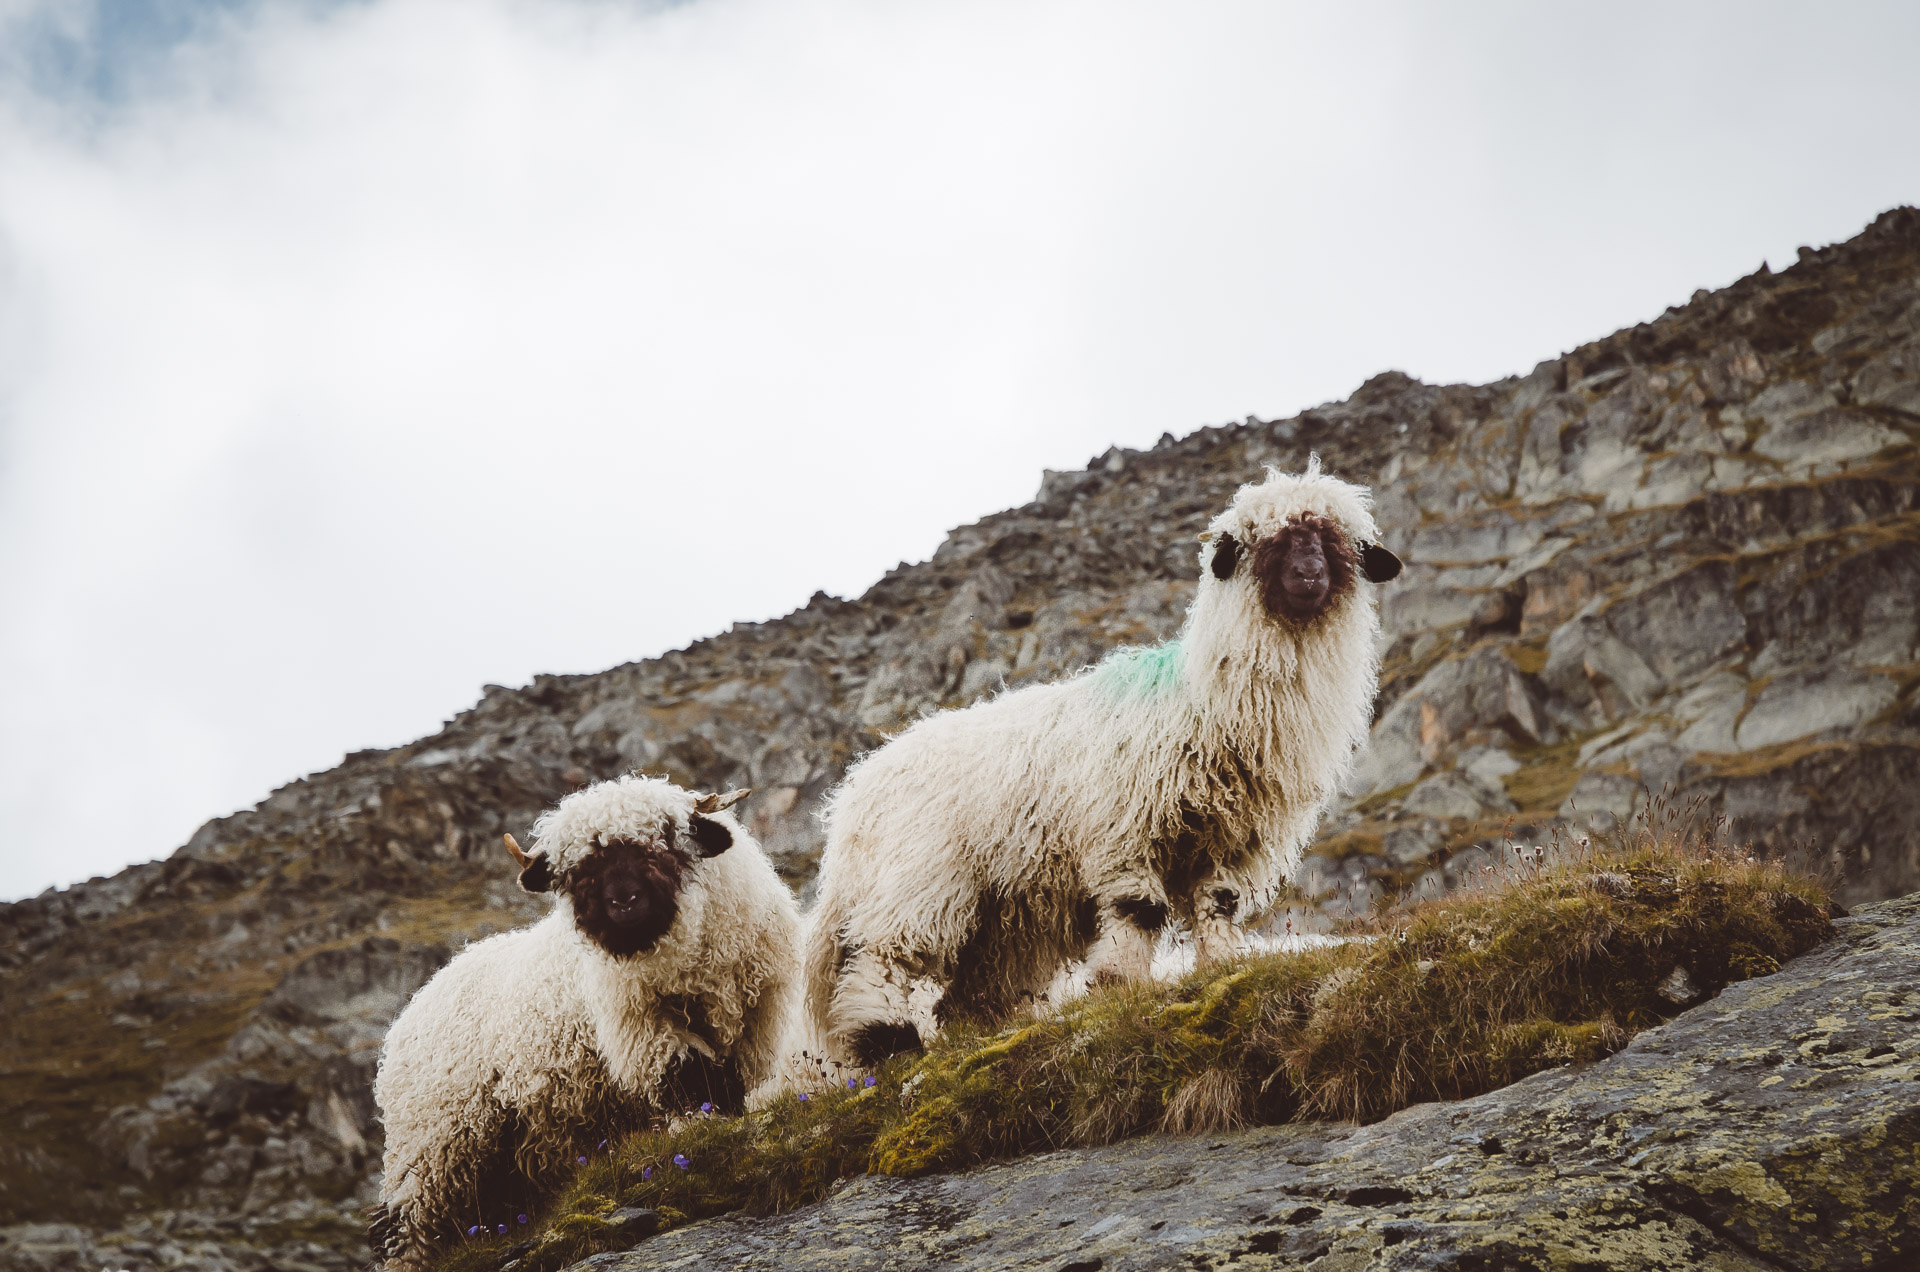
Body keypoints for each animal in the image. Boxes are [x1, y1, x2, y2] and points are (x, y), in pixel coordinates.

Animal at [366, 776, 794, 1268]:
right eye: (577, 868)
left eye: (664, 838)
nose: (623, 901)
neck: (686, 962)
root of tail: (411, 1010)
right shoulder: (646, 1031)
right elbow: (688, 1079)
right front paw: (698, 1132)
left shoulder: (755, 1026)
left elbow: (730, 1087)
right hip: (432, 1145)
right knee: (403, 1226)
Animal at [802, 459, 1405, 1068]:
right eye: (1270, 542)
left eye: (1336, 543)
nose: (1309, 575)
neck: (1202, 704)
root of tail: (855, 793)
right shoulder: (1127, 832)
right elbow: (1140, 910)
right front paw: (1119, 984)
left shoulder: (1232, 840)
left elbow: (1220, 904)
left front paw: (1223, 964)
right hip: (919, 877)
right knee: (884, 954)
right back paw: (885, 1039)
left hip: (1000, 915)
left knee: (971, 990)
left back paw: (982, 1028)